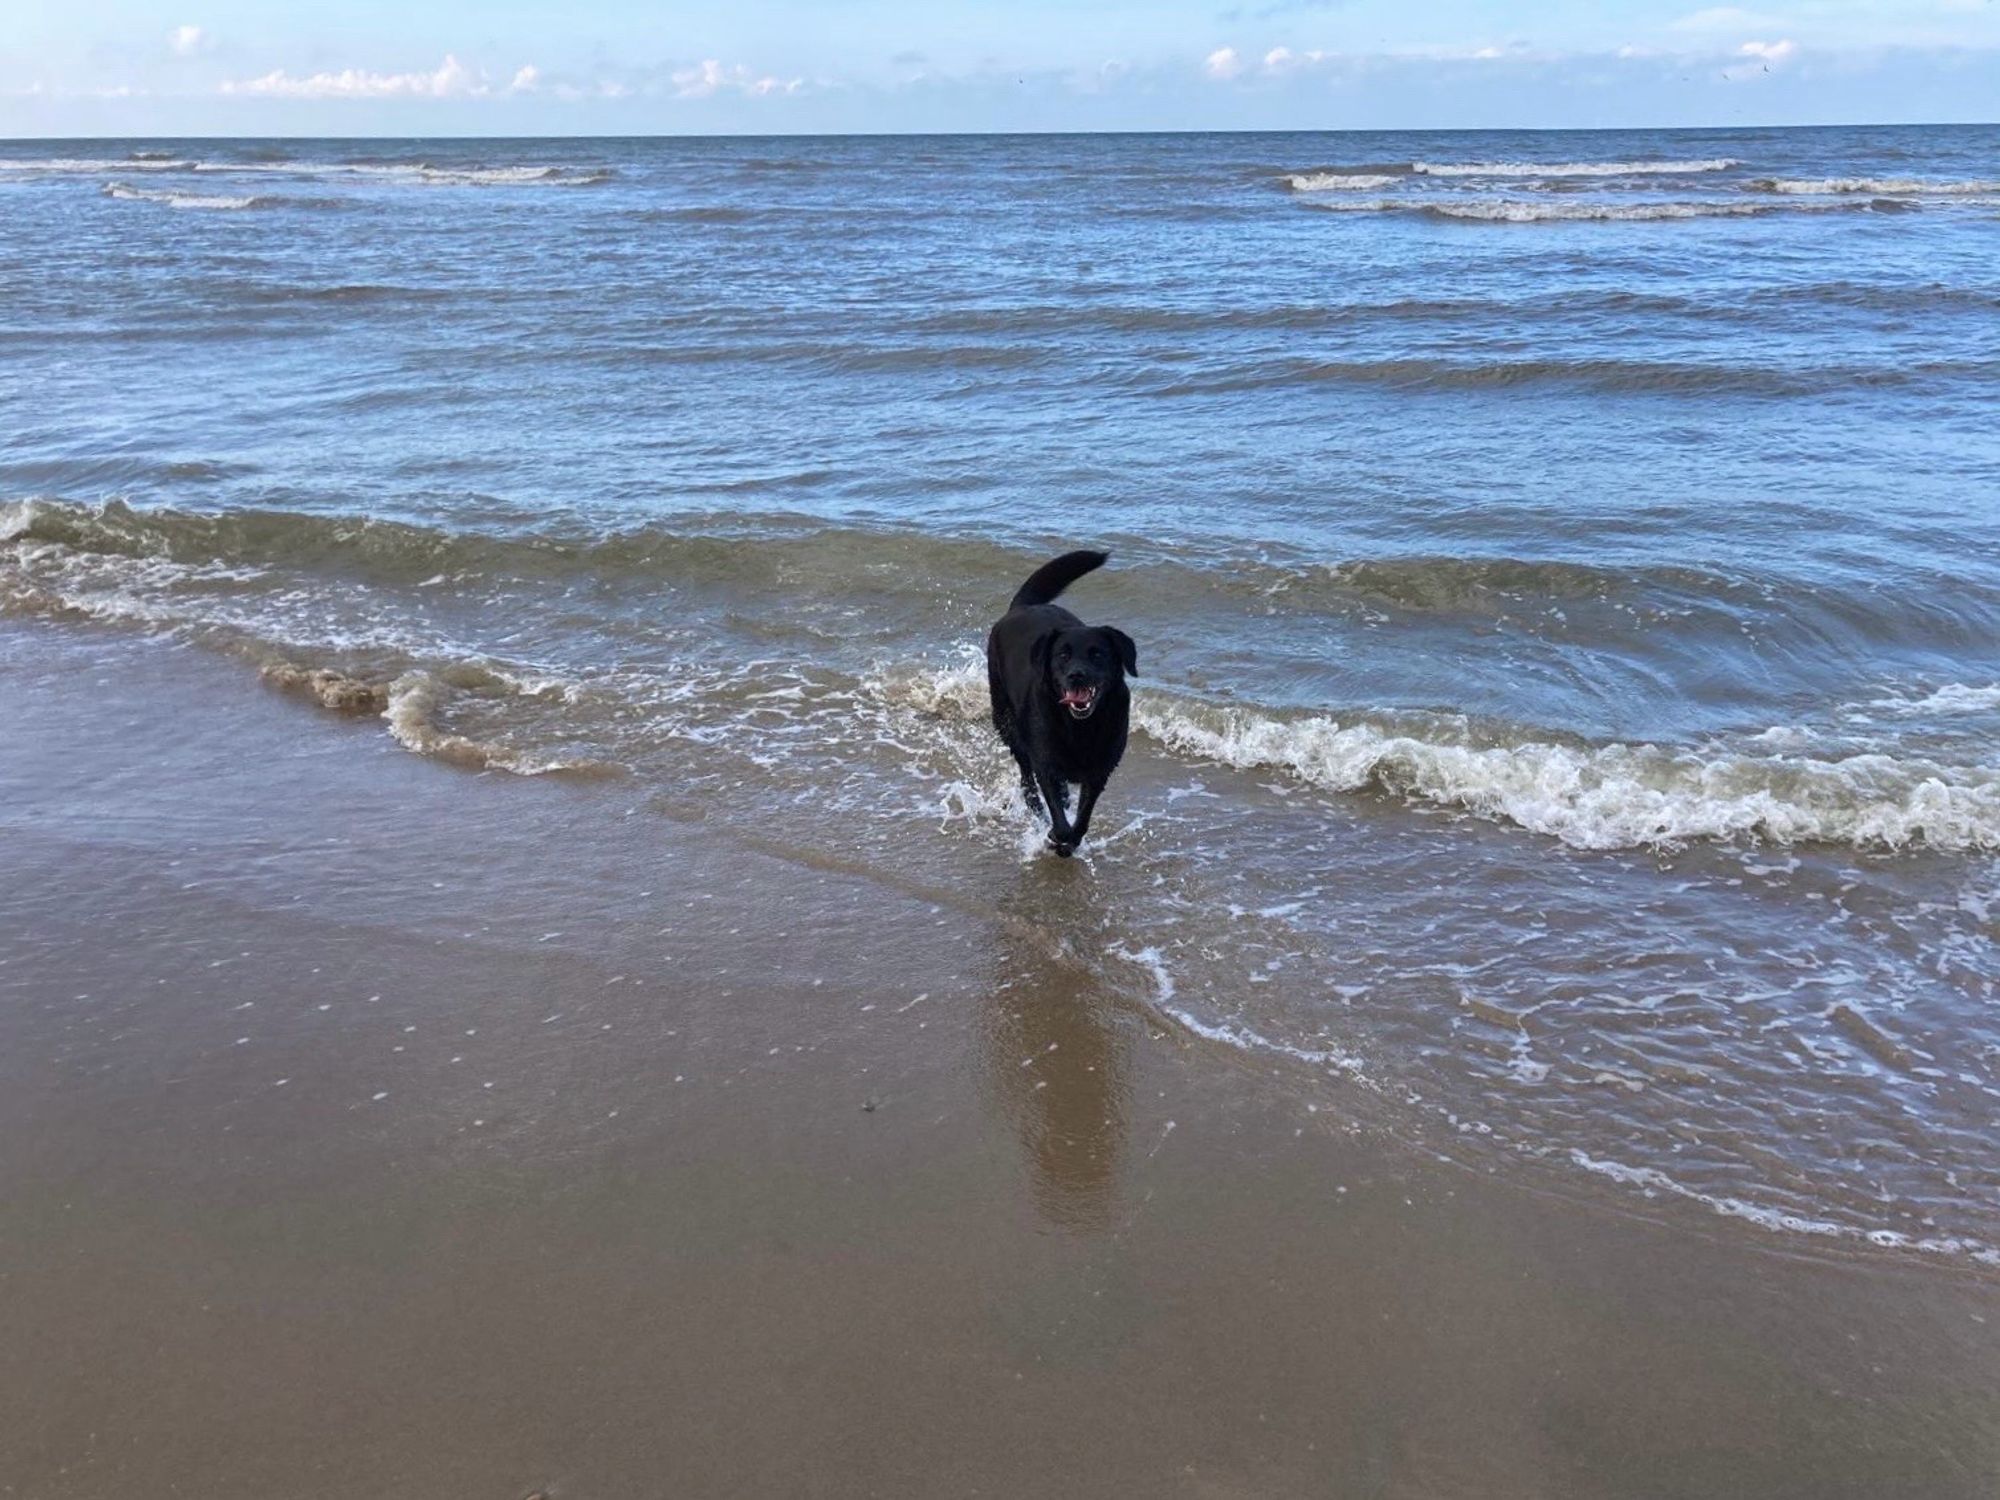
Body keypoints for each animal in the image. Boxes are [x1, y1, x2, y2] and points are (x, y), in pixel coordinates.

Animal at [988, 552, 1144, 856]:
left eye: (1097, 654)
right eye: (1063, 655)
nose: (1076, 675)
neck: (1080, 726)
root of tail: (1025, 606)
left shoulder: (1099, 772)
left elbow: (1082, 819)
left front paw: (1071, 841)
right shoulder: (1046, 764)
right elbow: (1059, 819)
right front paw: (1057, 837)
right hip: (1006, 721)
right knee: (1026, 775)